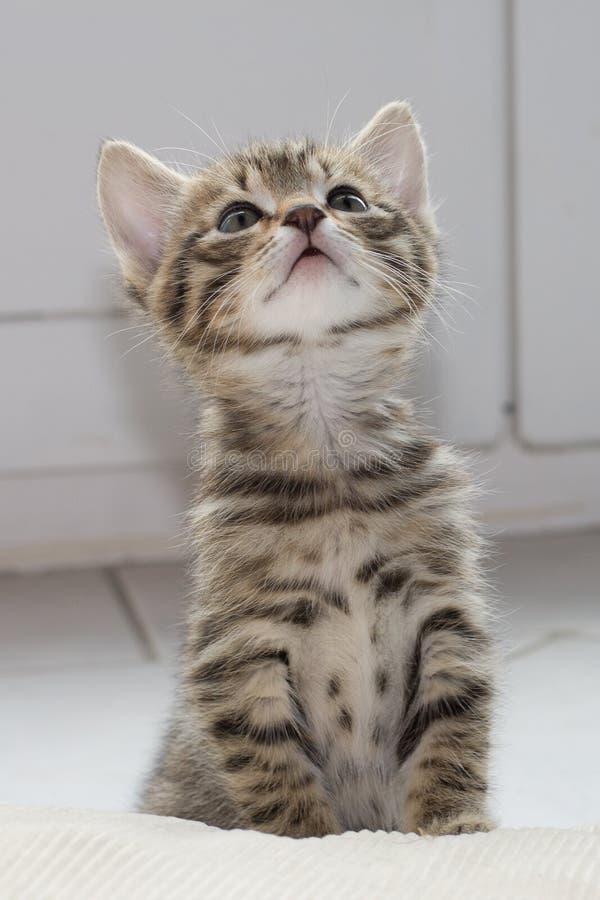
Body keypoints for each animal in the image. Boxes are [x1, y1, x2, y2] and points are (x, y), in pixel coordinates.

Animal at [97, 103, 492, 836]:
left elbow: (453, 735)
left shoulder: (446, 613)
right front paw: (307, 841)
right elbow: (274, 772)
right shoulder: (236, 651)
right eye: (237, 218)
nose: (307, 214)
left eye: (348, 200)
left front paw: (455, 830)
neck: (331, 468)